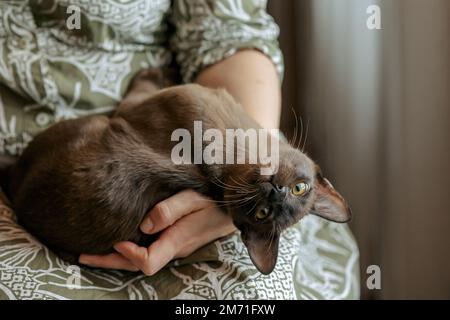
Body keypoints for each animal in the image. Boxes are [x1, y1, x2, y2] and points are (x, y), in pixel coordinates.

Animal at [0, 71, 352, 274]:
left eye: (263, 213)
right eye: (300, 188)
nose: (275, 191)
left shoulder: (137, 105)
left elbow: (142, 84)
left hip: (92, 125)